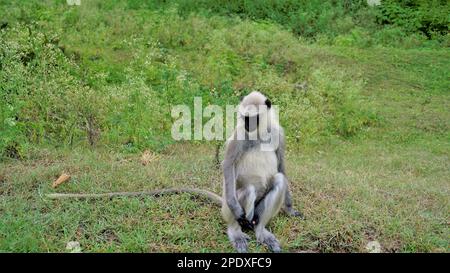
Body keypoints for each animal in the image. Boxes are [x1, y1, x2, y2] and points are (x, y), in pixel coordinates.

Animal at [221, 90, 302, 252]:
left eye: (254, 118)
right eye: (245, 118)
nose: (248, 125)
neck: (259, 133)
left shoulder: (278, 133)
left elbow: (281, 166)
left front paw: (290, 209)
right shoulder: (239, 132)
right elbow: (228, 164)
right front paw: (236, 210)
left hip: (258, 209)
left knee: (279, 180)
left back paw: (260, 231)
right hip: (229, 207)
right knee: (249, 191)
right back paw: (236, 232)